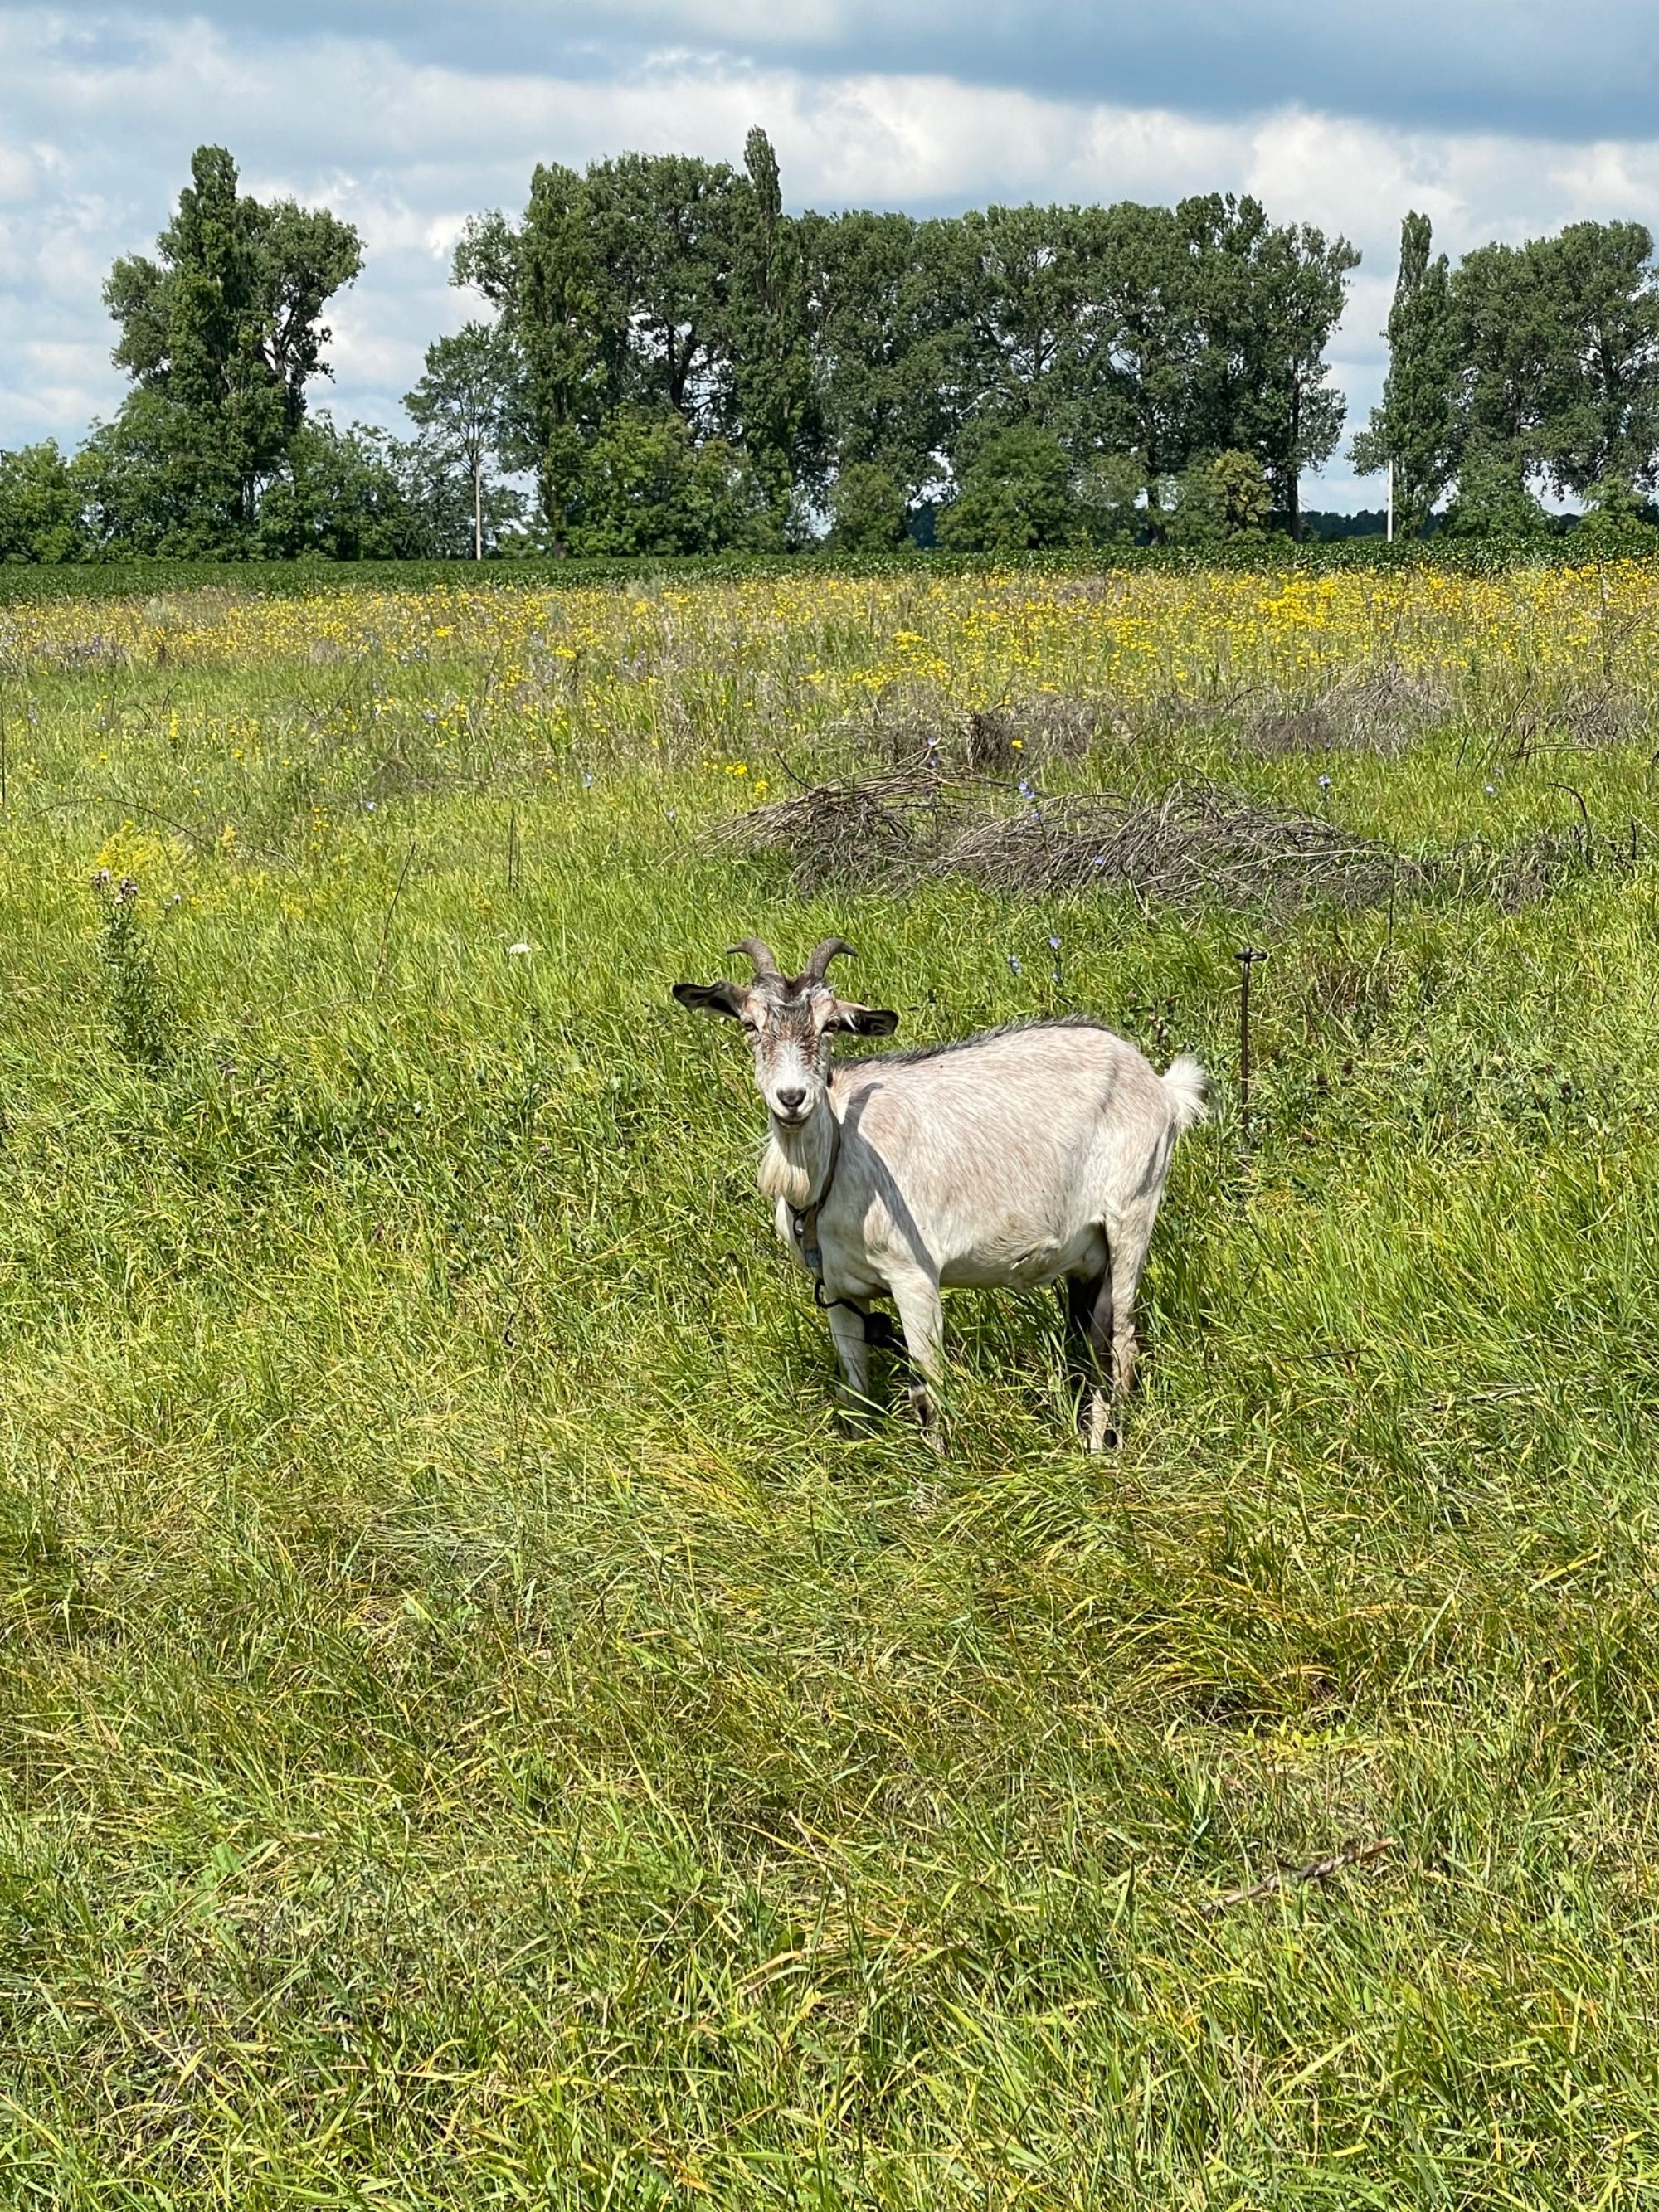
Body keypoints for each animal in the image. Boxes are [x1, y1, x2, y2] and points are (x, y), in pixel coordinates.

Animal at [677, 937, 1212, 1441]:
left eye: (830, 1026)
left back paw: (1106, 1451)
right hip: (1089, 1256)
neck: (835, 1167)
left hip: (1132, 1213)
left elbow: (928, 1391)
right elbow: (855, 1388)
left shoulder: (915, 1276)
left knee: (1121, 1344)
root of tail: (1162, 1087)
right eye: (749, 1025)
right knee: (1090, 1341)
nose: (792, 1098)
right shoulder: (838, 1290)